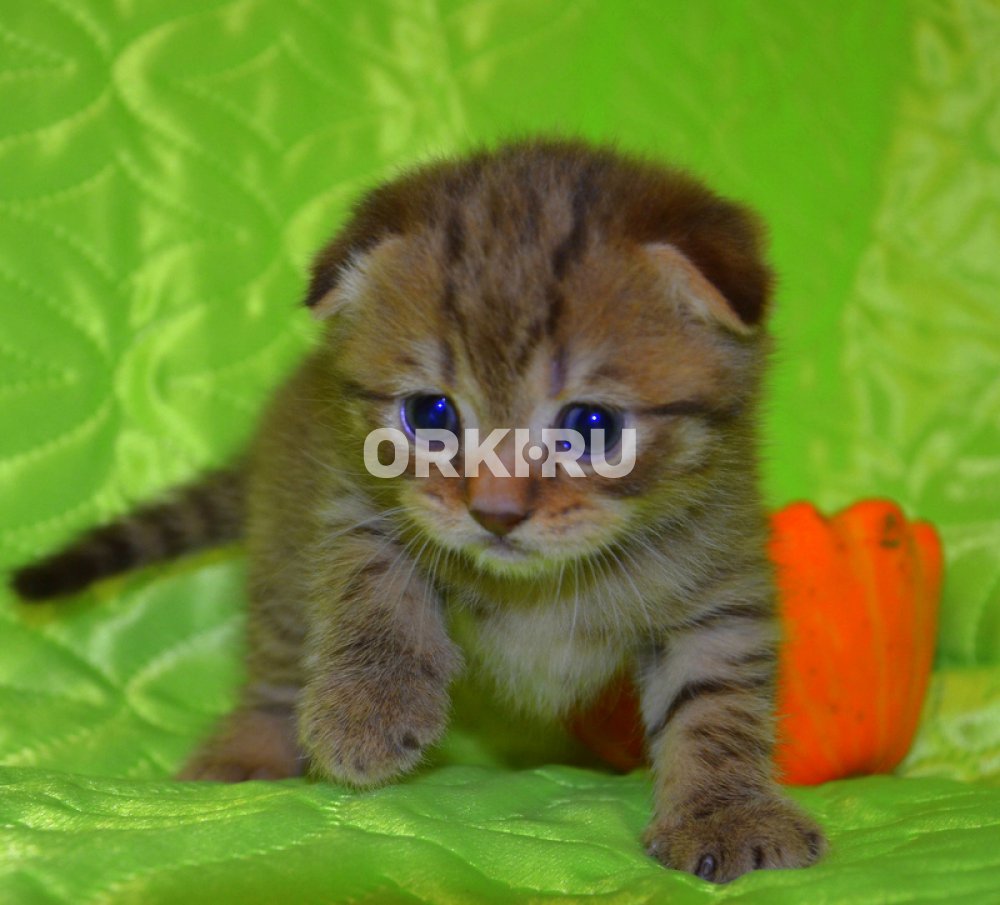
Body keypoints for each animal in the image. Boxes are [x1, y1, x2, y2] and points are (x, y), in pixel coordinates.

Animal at [11, 139, 825, 882]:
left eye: (592, 425)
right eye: (431, 413)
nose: (496, 512)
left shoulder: (720, 582)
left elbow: (714, 700)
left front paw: (725, 811)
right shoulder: (355, 504)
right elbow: (376, 584)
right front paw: (369, 709)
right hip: (283, 553)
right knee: (276, 661)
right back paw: (247, 750)